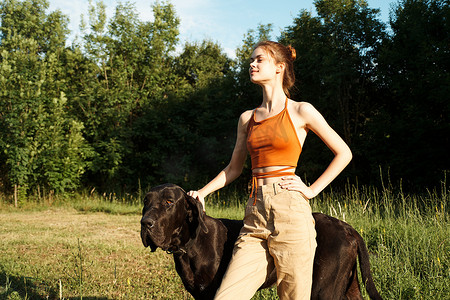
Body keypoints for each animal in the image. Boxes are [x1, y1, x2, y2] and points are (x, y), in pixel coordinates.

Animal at [140, 184, 380, 298]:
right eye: (145, 201)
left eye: (169, 202)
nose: (145, 223)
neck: (189, 245)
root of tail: (348, 228)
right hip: (348, 285)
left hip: (323, 289)